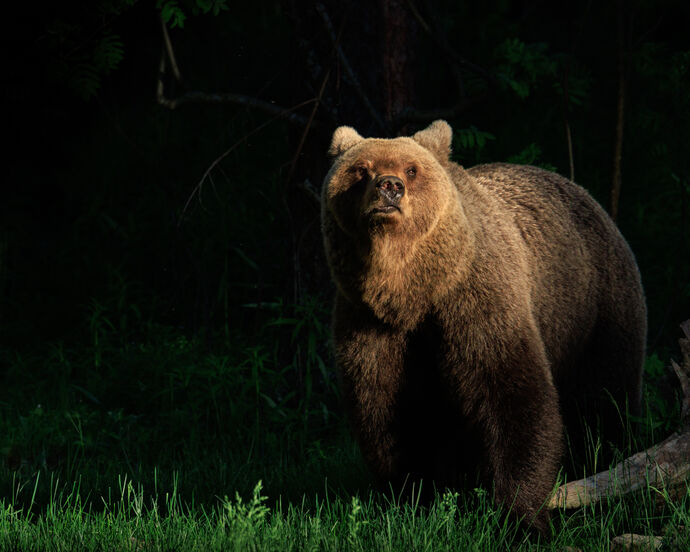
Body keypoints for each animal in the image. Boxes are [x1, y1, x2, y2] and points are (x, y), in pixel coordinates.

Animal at [320, 120, 647, 534]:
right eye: (361, 169)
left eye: (412, 169)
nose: (389, 186)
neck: (412, 291)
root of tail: (585, 194)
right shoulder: (369, 324)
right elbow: (385, 408)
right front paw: (411, 496)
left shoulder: (478, 301)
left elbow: (512, 394)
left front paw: (521, 516)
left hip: (596, 306)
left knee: (605, 395)